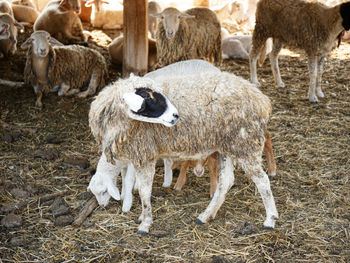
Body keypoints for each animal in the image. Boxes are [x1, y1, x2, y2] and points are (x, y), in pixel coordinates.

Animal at [89, 71, 278, 234]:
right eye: (147, 96)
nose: (175, 115)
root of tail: (261, 99)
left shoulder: (145, 153)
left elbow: (144, 191)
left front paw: (145, 223)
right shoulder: (139, 156)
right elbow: (142, 189)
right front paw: (143, 217)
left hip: (245, 142)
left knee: (262, 181)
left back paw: (270, 219)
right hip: (228, 145)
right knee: (226, 181)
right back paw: (206, 215)